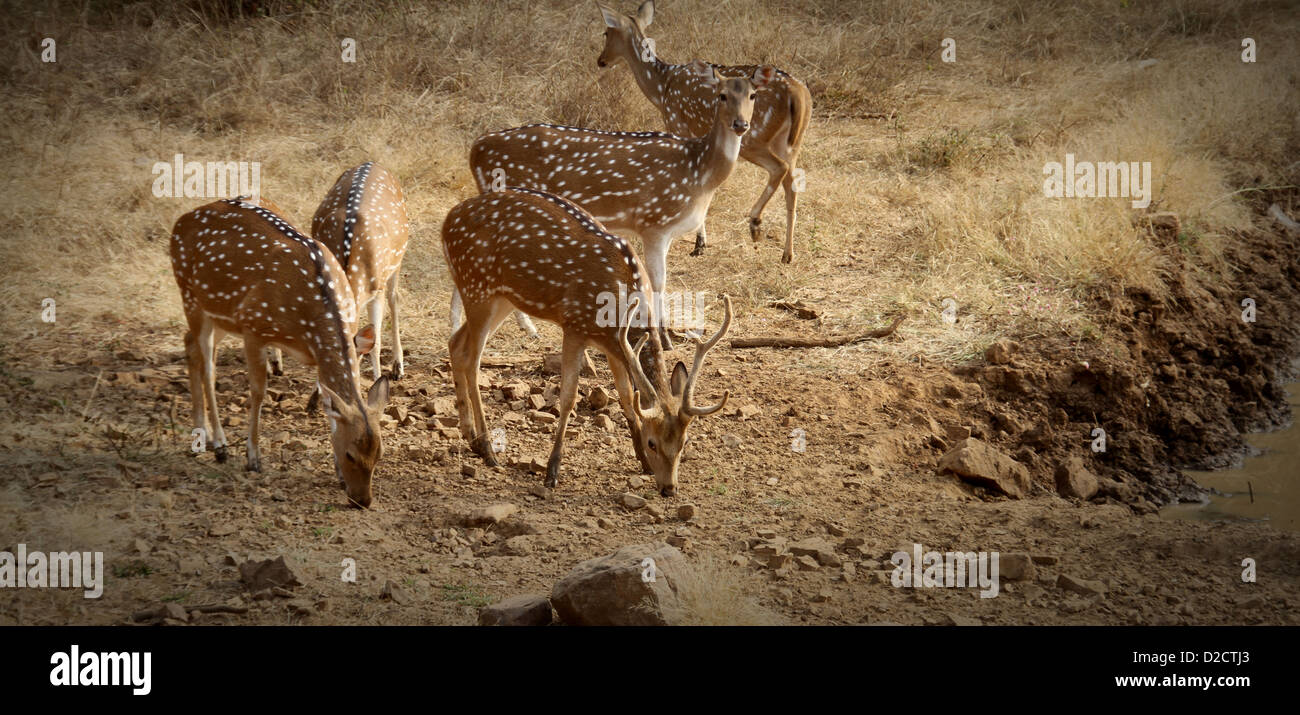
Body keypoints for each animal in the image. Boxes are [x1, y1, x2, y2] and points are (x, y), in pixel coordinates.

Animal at [170, 196, 390, 509]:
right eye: (351, 453)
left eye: (380, 453)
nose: (362, 500)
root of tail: (181, 220)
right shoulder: (253, 326)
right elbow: (258, 391)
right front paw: (253, 458)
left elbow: (328, 404)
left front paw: (336, 474)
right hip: (190, 294)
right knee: (207, 365)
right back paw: (219, 444)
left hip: (219, 313)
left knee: (192, 346)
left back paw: (203, 436)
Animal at [441, 187, 733, 496]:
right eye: (653, 442)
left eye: (684, 442)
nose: (669, 489)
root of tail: (448, 220)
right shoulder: (574, 326)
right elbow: (568, 397)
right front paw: (551, 472)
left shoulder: (615, 345)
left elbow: (627, 397)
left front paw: (641, 462)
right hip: (476, 285)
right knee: (472, 359)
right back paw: (487, 449)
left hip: (503, 297)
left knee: (456, 343)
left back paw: (470, 436)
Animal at [467, 63, 769, 351]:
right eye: (722, 95)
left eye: (753, 95)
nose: (740, 124)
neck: (699, 174)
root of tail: (475, 149)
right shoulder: (653, 222)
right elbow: (657, 281)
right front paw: (664, 339)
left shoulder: (667, 231)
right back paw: (528, 328)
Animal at [598, 0, 811, 263]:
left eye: (606, 33)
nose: (601, 60)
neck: (661, 88)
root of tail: (798, 94)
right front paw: (700, 243)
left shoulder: (677, 124)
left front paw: (699, 244)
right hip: (791, 143)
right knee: (792, 184)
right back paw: (787, 254)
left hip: (754, 136)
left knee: (778, 169)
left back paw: (755, 223)